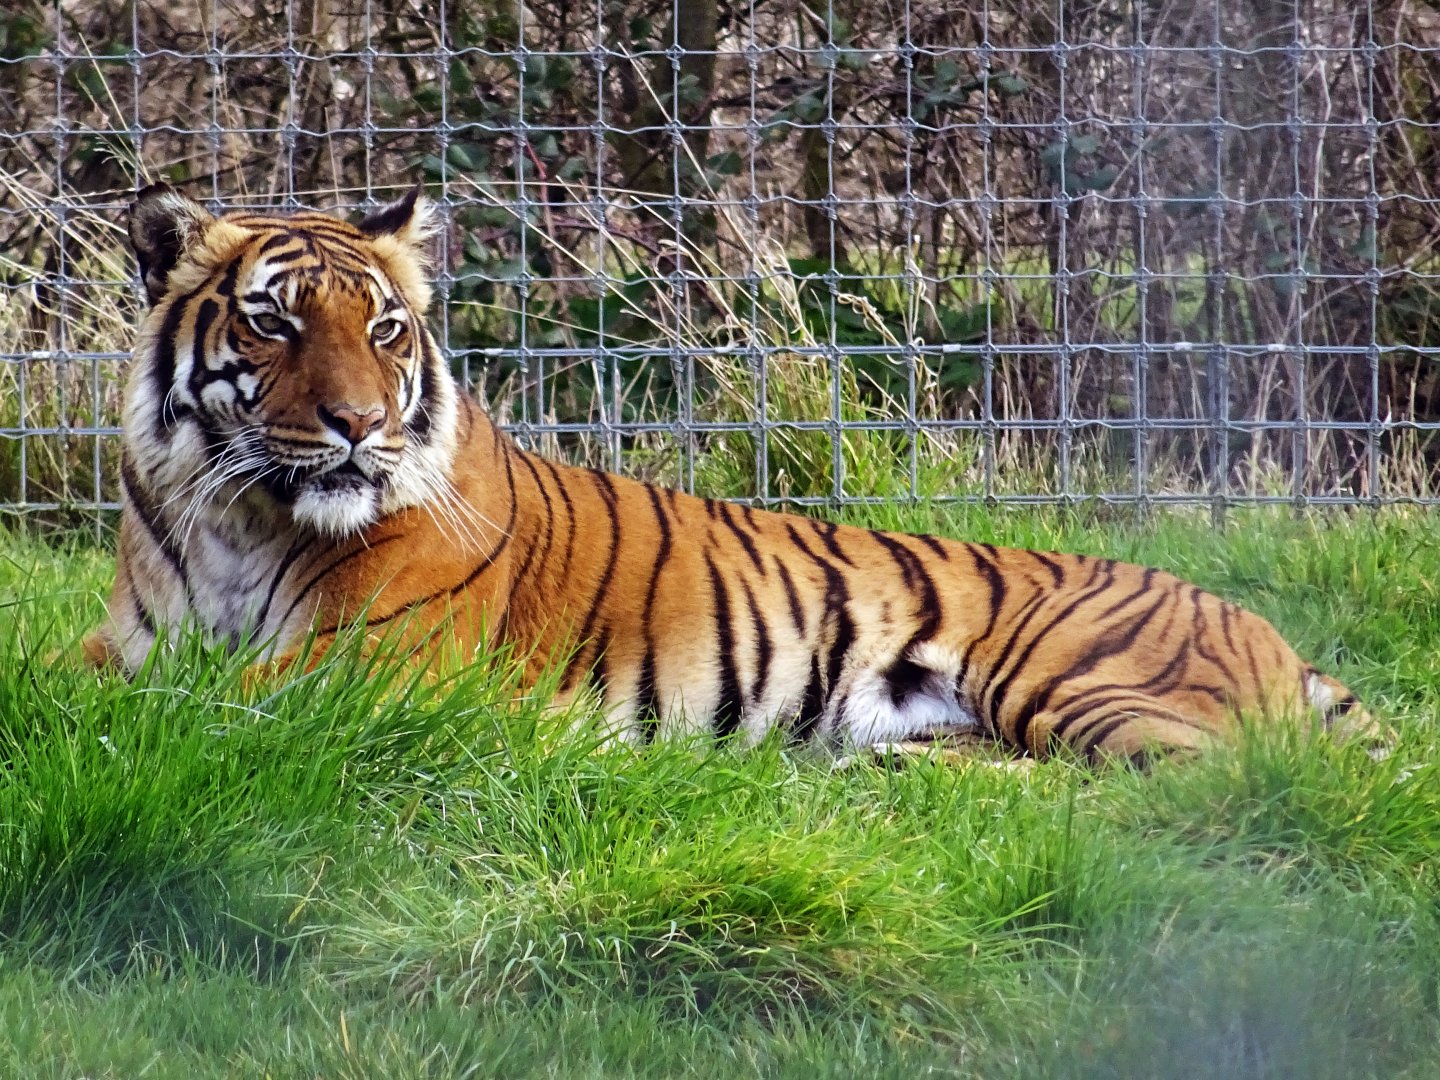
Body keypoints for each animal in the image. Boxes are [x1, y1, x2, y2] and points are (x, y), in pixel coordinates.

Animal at [84, 183, 1380, 765]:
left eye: (387, 330)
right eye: (275, 324)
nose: (358, 425)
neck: (241, 518)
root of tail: (1260, 625)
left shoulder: (368, 664)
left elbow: (190, 703)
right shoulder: (127, 639)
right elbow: (91, 682)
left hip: (1080, 683)